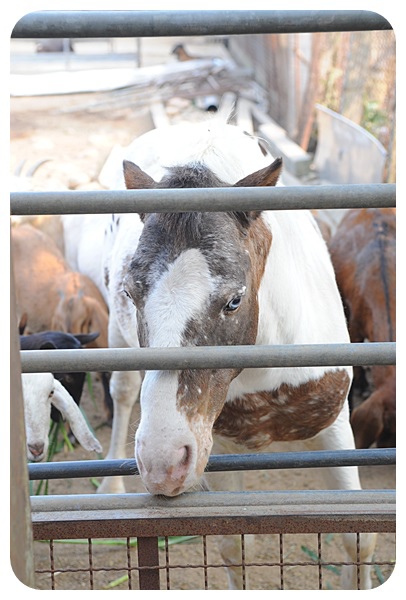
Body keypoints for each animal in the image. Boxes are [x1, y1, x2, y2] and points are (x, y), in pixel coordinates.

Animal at [87, 119, 376, 588]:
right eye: (132, 292)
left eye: (234, 301)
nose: (162, 461)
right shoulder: (217, 443)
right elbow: (232, 546)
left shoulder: (334, 427)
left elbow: (358, 538)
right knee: (124, 391)